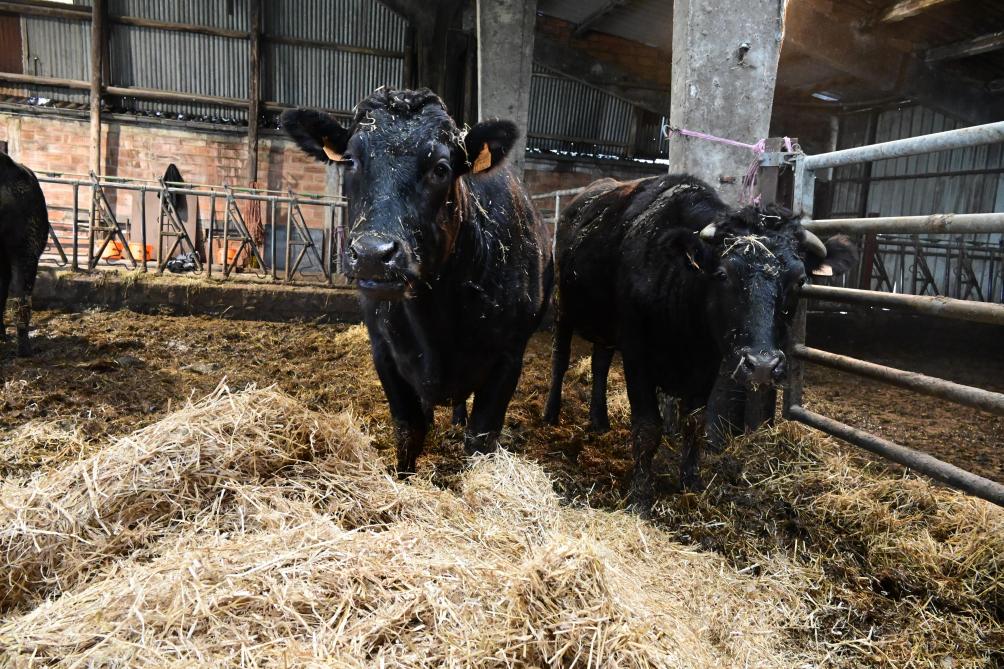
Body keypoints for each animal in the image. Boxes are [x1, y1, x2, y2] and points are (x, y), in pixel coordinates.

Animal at [279, 88, 554, 472]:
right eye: (350, 161)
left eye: (441, 168)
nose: (372, 253)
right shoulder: (384, 351)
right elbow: (409, 429)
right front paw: (403, 476)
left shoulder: (509, 356)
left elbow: (480, 440)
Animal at [546, 172, 859, 510]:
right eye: (722, 274)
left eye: (799, 281)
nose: (762, 365)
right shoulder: (636, 354)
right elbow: (647, 427)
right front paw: (640, 494)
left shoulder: (708, 364)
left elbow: (695, 423)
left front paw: (691, 480)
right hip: (562, 307)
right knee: (560, 361)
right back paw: (551, 415)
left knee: (600, 363)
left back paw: (599, 420)